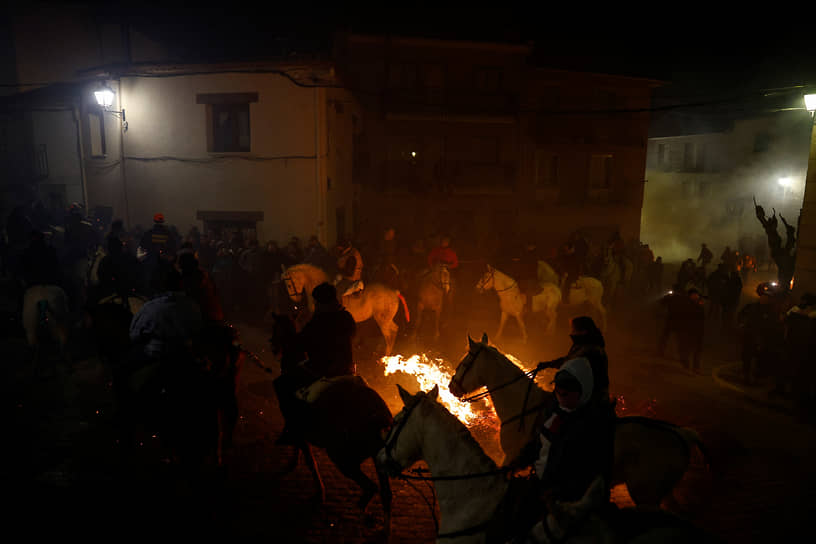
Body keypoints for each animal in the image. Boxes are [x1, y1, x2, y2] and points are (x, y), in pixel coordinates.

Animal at [446, 334, 708, 508]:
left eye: (465, 361)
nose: (451, 387)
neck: (525, 409)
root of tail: (683, 434)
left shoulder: (510, 457)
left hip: (645, 496)